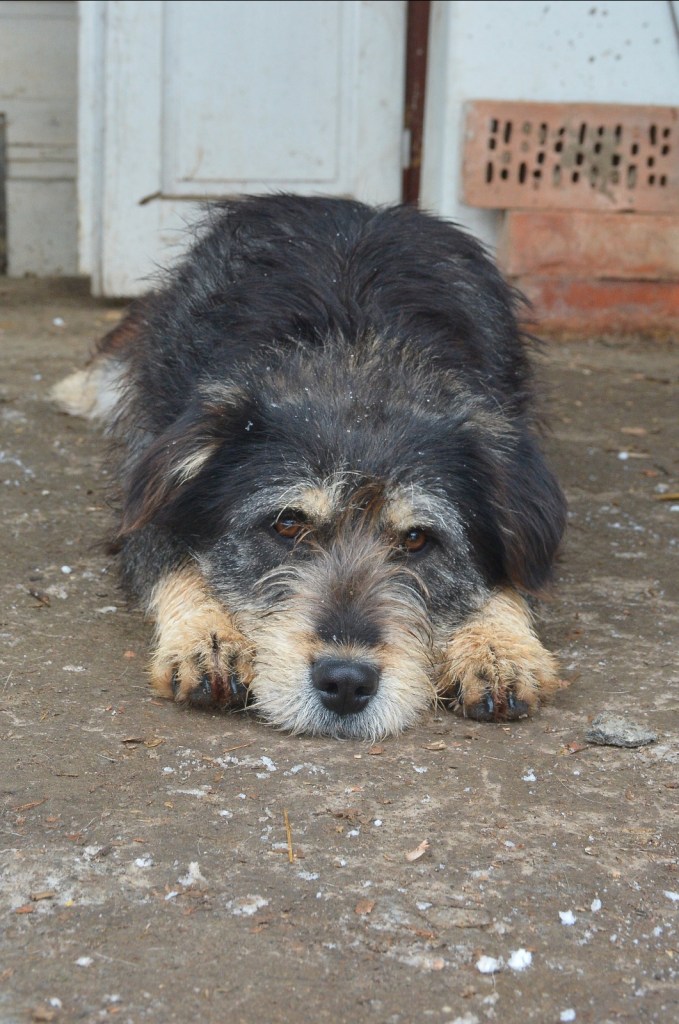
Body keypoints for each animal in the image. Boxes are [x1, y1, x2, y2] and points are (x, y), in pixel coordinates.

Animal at [54, 194, 566, 740]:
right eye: (287, 523)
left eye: (416, 539)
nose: (345, 681)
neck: (355, 356)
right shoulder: (146, 492)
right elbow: (171, 557)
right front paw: (207, 635)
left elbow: (514, 578)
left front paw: (498, 647)